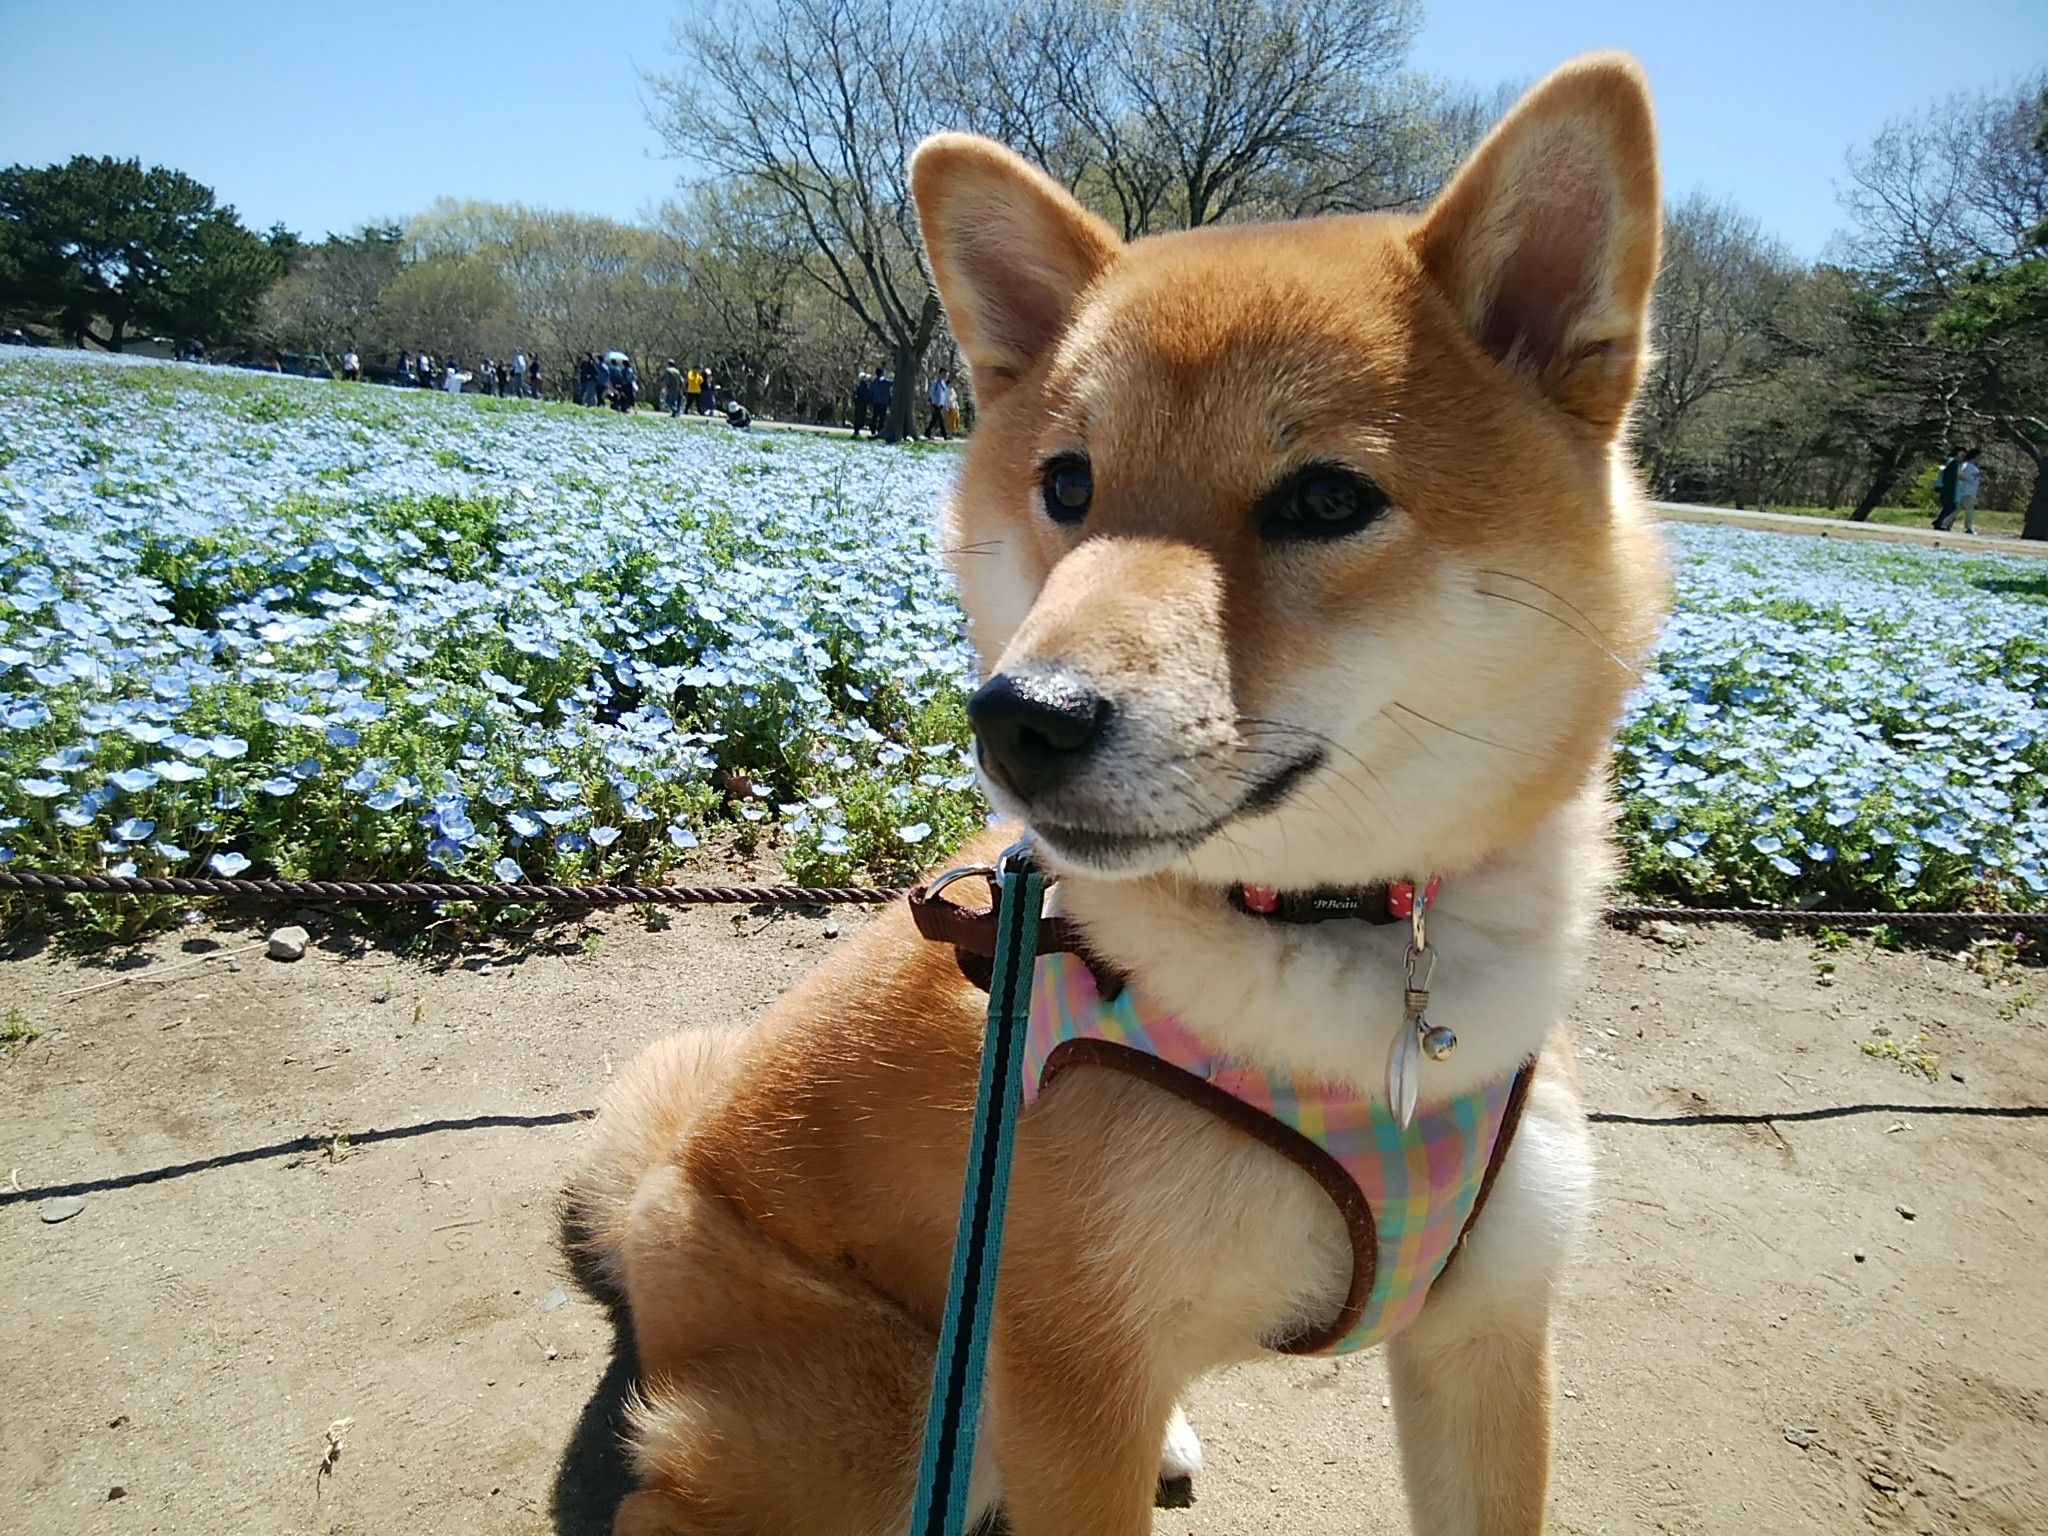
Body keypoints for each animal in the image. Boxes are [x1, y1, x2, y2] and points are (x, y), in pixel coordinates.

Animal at [561, 51, 1662, 1536]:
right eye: (1066, 484)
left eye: (1327, 498)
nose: (1020, 718)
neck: (1353, 951)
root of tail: (659, 1194)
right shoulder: (1073, 1368)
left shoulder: (1486, 1333)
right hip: (894, 1412)